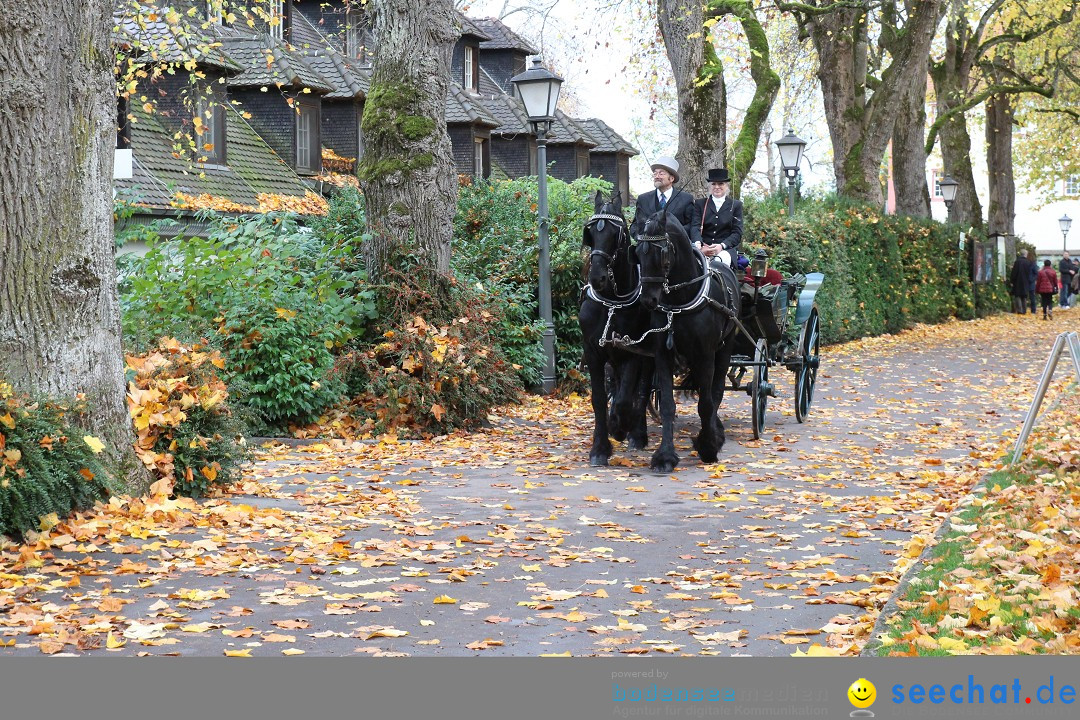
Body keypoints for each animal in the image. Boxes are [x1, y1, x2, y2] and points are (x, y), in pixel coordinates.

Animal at [630, 208, 743, 472]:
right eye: (638, 253)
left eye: (662, 253)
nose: (648, 300)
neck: (680, 300)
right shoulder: (662, 354)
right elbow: (668, 405)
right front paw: (664, 456)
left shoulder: (706, 355)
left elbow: (706, 403)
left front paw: (708, 446)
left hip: (724, 351)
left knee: (716, 392)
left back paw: (714, 434)